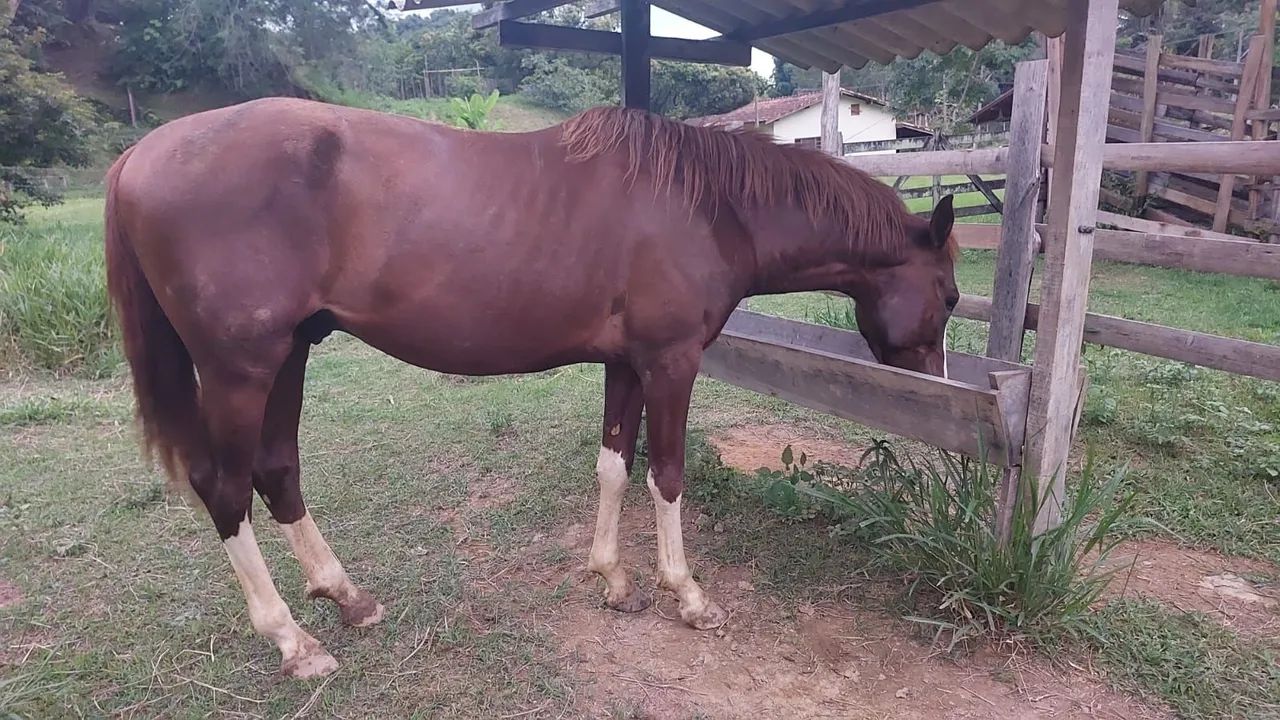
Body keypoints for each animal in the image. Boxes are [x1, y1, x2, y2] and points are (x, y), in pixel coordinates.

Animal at [104, 97, 959, 678]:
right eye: (950, 297)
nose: (932, 395)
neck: (710, 207)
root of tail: (138, 156)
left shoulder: (627, 363)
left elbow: (615, 464)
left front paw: (612, 580)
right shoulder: (671, 362)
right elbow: (667, 474)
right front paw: (687, 596)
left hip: (289, 355)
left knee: (277, 470)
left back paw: (347, 598)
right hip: (240, 368)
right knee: (224, 488)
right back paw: (292, 639)